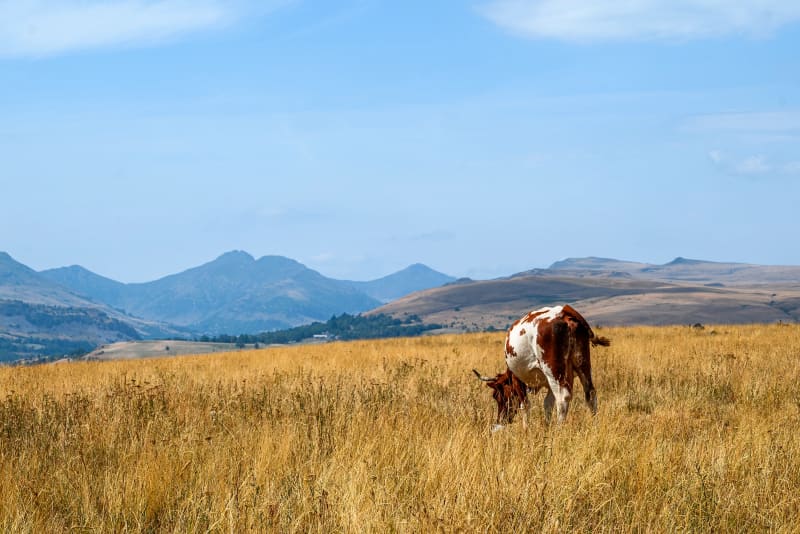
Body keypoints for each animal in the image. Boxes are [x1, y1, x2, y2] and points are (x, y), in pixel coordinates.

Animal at [475, 304, 610, 427]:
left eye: (497, 395)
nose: (500, 420)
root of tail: (564, 312)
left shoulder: (517, 379)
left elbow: (525, 405)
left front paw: (526, 428)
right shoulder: (549, 383)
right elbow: (547, 404)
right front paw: (546, 426)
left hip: (553, 370)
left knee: (563, 398)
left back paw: (559, 429)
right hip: (582, 364)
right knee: (590, 394)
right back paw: (594, 425)